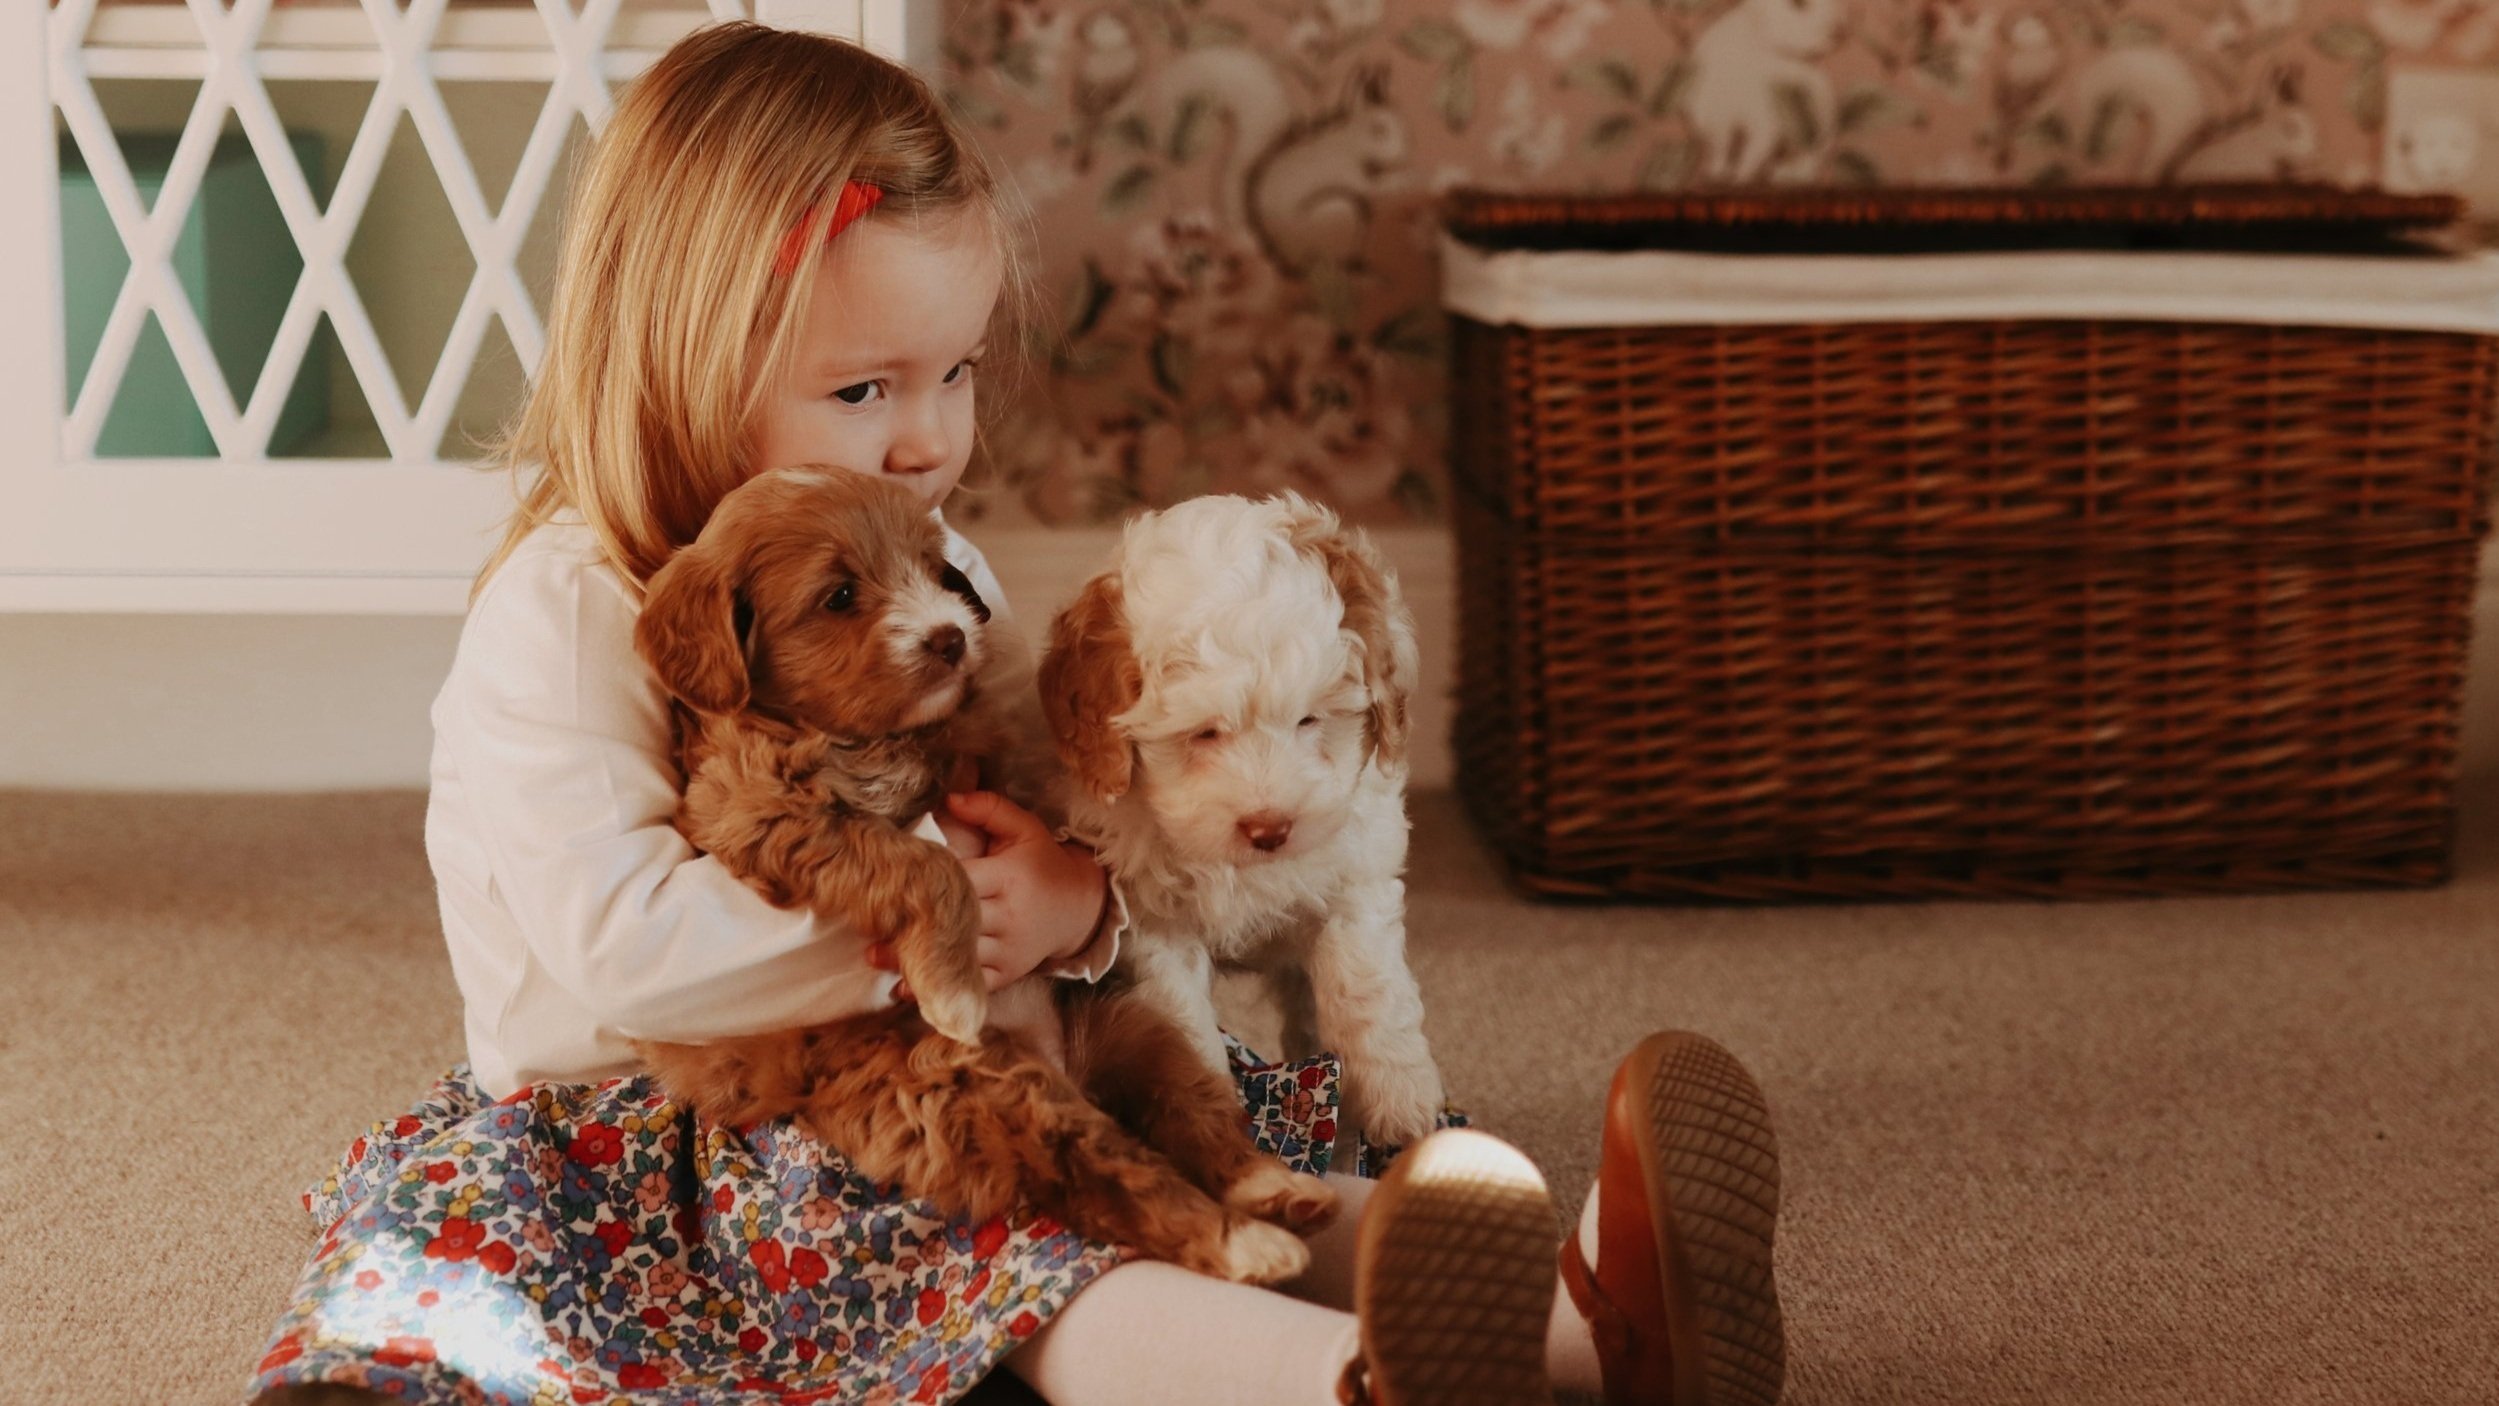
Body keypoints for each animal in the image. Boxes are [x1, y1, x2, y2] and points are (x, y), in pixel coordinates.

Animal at [629, 467, 1329, 1278]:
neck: (872, 738)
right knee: (1108, 1168)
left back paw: (1269, 1189)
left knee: (1190, 1109)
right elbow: (924, 862)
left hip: (1130, 1028)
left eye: (936, 571)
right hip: (987, 1085)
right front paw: (955, 985)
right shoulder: (756, 813)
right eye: (839, 595)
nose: (951, 636)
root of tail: (1066, 1067)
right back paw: (1243, 1241)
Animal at [1029, 491, 1449, 1143]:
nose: (1270, 830)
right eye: (1203, 733)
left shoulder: (1353, 876)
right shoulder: (1152, 923)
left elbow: (1366, 988)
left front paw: (1398, 1100)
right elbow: (1181, 1023)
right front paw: (1211, 1114)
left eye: (1308, 720)